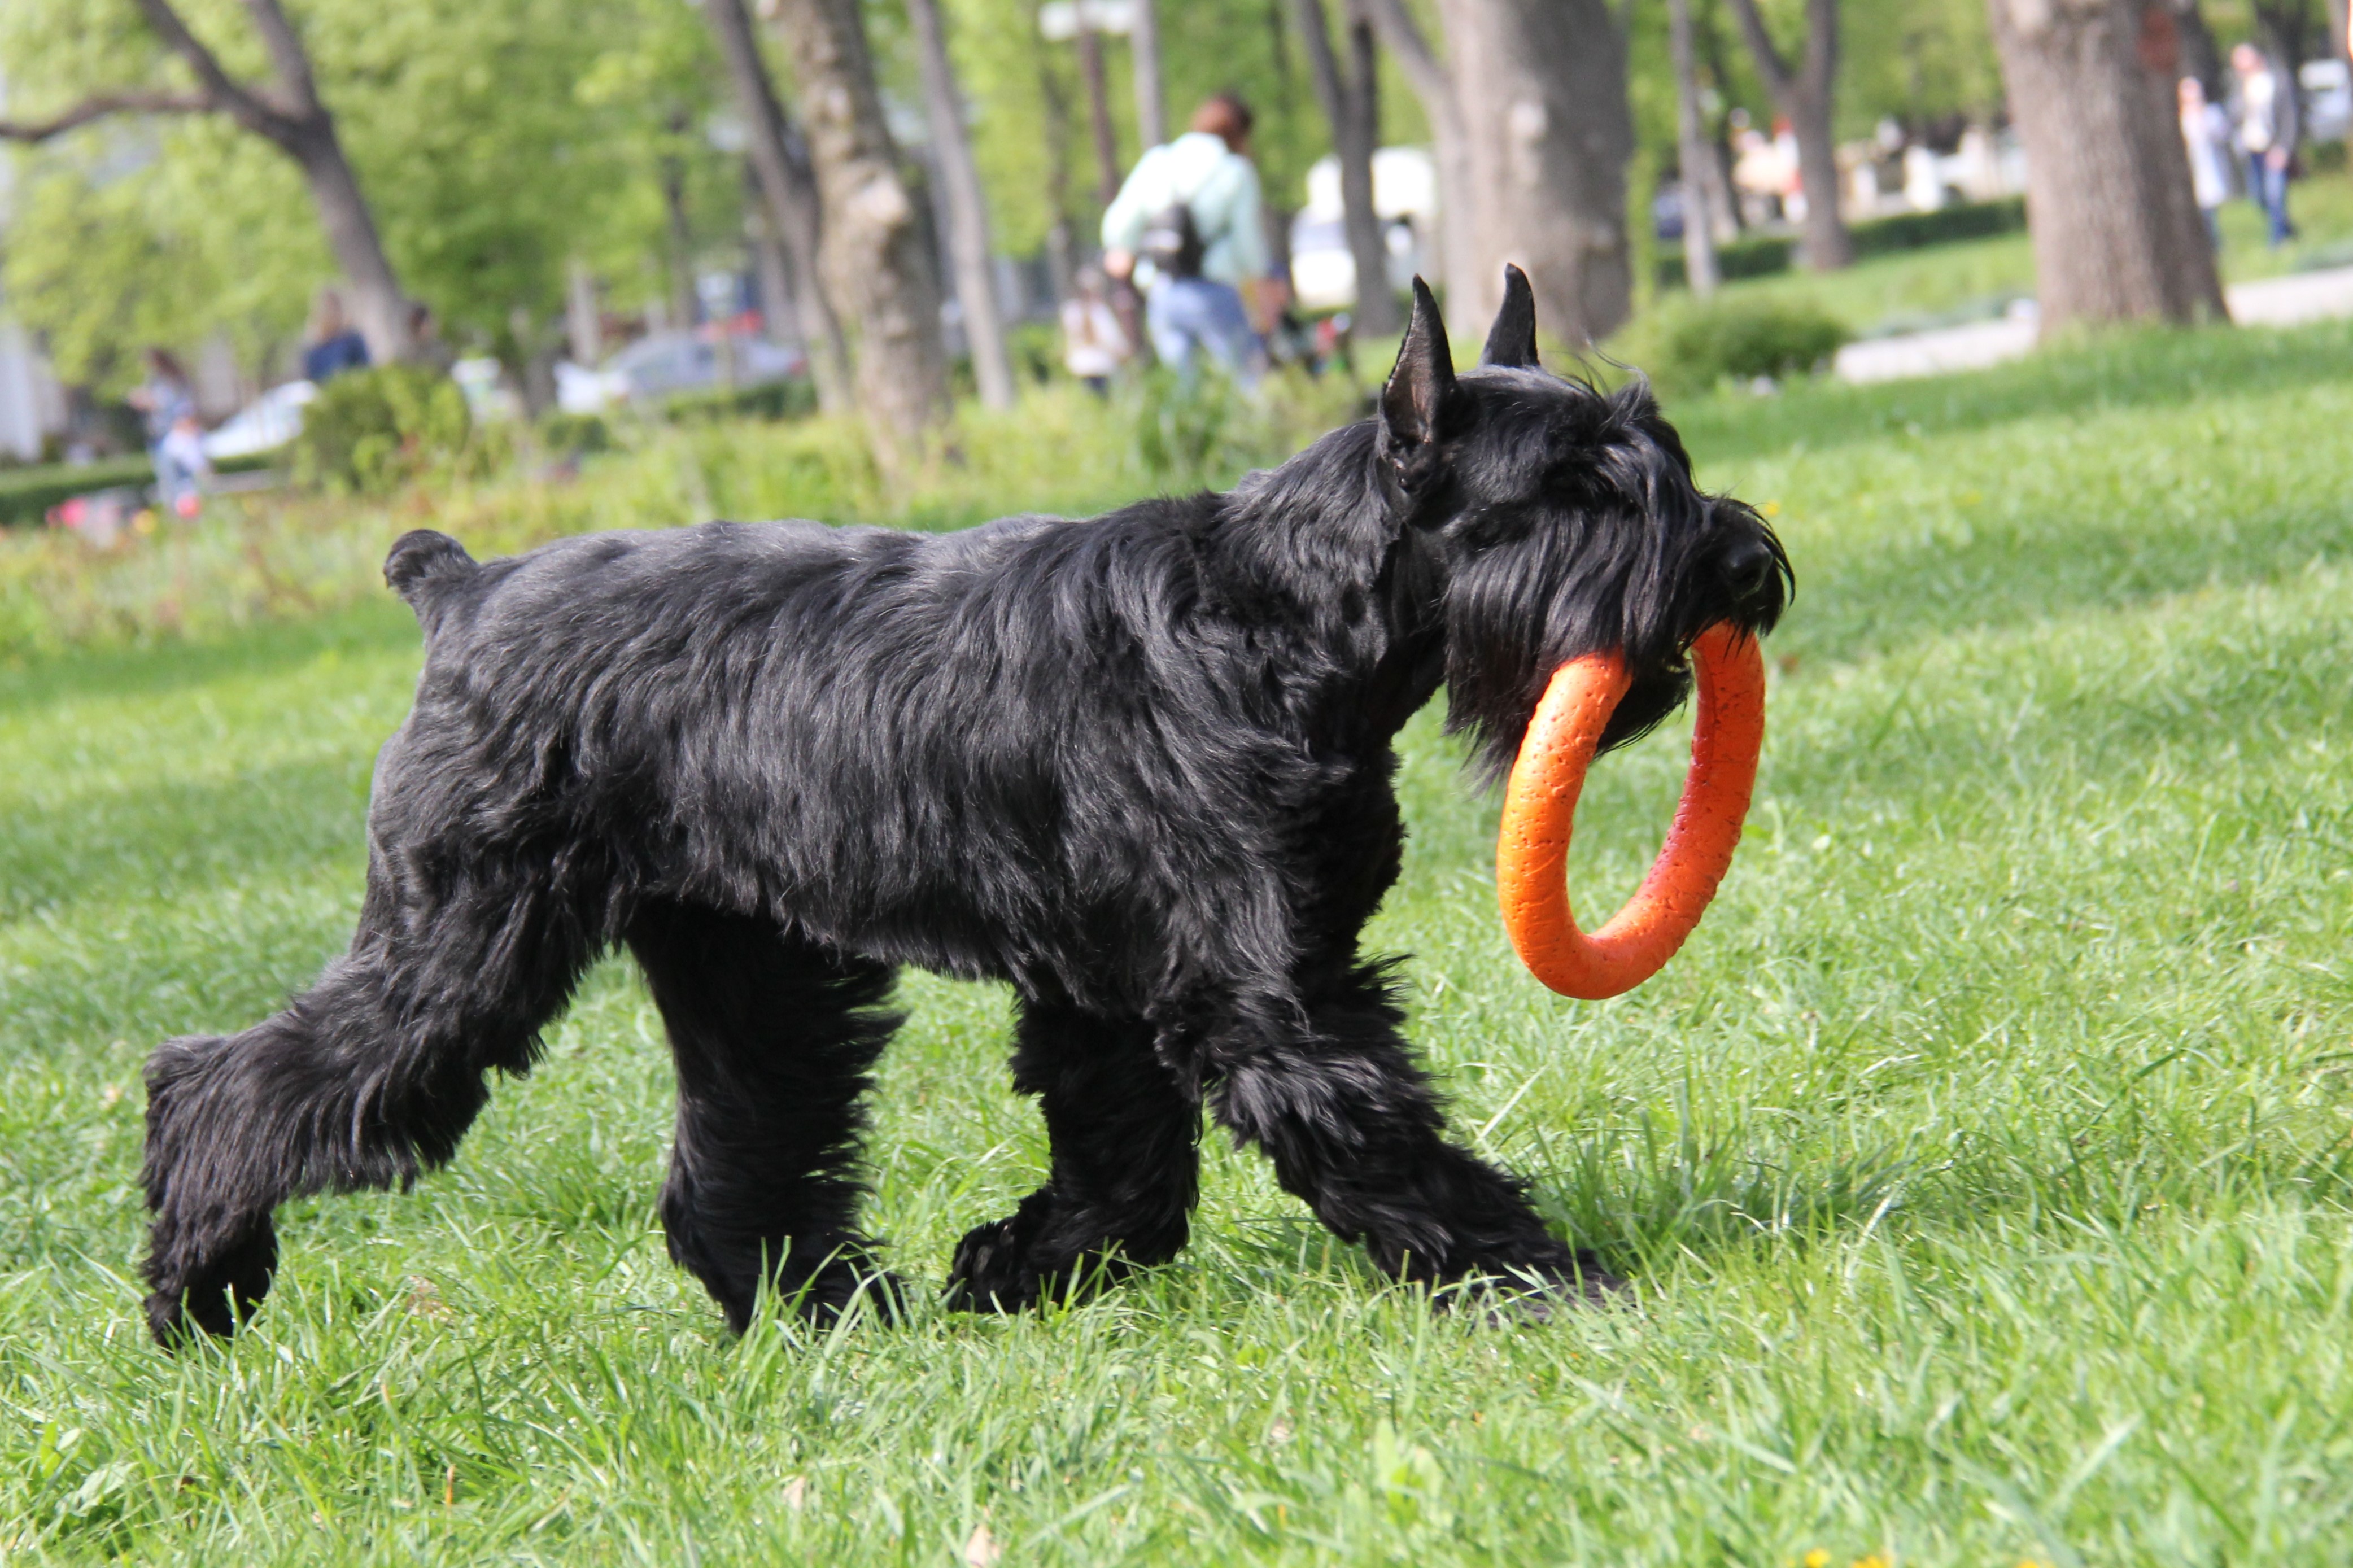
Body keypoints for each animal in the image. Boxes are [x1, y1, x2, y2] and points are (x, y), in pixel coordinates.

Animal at [142, 266, 1779, 1327]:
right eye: (1574, 484)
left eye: (1659, 443)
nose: (1739, 567)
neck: (1278, 620)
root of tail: (460, 590)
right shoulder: (1261, 998)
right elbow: (1365, 1133)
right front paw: (1543, 1279)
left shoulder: (1116, 989)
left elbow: (1126, 1167)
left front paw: (1009, 1271)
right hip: (465, 942)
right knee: (236, 1079)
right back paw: (196, 1286)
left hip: (750, 971)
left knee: (740, 1145)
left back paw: (825, 1311)